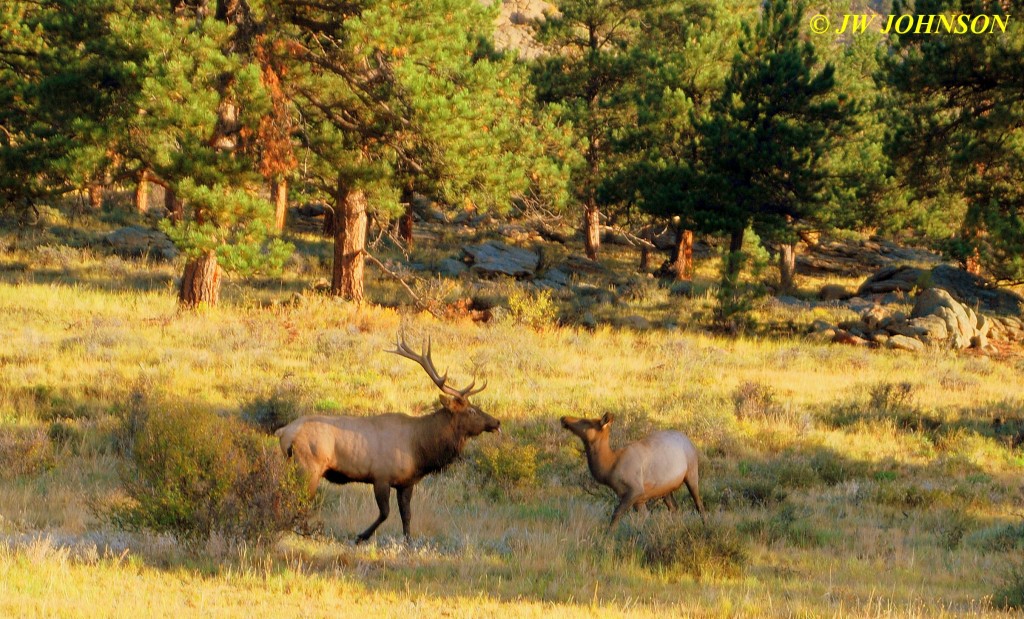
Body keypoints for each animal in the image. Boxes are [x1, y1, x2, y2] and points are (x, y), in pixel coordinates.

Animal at [276, 336, 499, 545]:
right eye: (471, 411)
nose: (496, 421)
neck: (420, 449)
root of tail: (284, 432)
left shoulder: (406, 482)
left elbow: (406, 515)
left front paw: (408, 541)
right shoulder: (381, 476)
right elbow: (385, 513)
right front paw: (361, 536)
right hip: (308, 466)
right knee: (299, 499)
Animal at [561, 416, 704, 528]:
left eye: (586, 421)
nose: (563, 418)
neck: (609, 467)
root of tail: (688, 439)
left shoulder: (635, 490)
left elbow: (616, 514)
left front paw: (607, 537)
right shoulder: (639, 499)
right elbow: (644, 520)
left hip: (692, 473)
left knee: (699, 504)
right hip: (665, 489)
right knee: (675, 508)